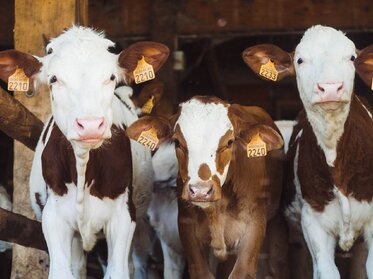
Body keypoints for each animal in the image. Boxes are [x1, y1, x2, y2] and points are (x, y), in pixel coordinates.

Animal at [0, 25, 167, 278]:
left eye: (111, 77)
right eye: (53, 79)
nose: (90, 125)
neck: (83, 166)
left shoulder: (123, 216)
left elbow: (118, 271)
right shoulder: (53, 217)